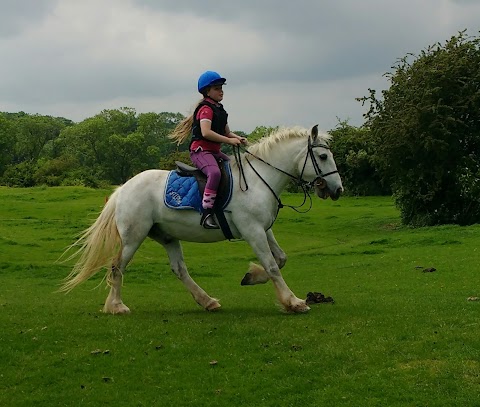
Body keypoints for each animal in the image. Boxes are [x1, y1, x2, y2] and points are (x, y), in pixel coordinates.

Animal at [61, 126, 342, 314]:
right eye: (323, 157)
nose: (338, 190)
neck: (259, 179)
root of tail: (123, 189)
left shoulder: (263, 229)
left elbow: (280, 258)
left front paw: (251, 276)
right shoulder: (252, 230)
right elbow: (273, 265)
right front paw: (293, 302)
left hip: (167, 236)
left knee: (179, 270)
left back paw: (207, 301)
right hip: (133, 237)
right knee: (117, 266)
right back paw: (116, 306)